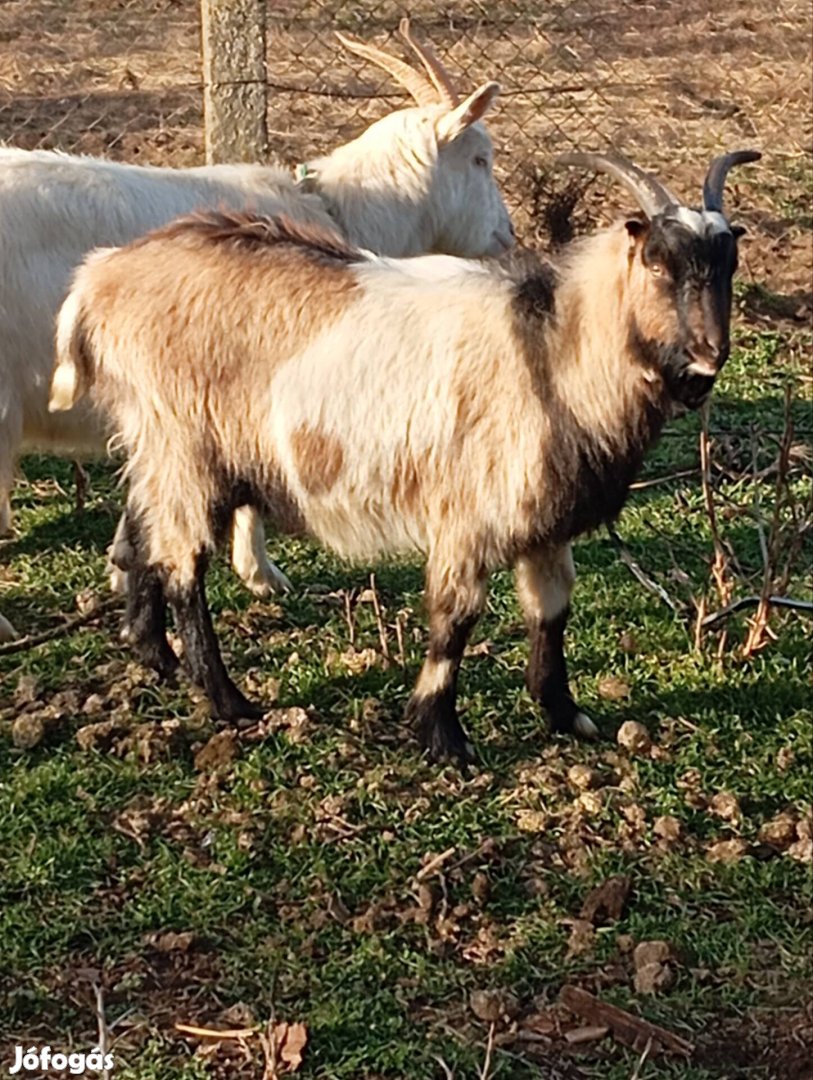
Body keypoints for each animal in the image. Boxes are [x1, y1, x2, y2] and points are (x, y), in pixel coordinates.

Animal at [50, 150, 760, 760]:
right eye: (659, 263)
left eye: (728, 262)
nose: (710, 355)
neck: (554, 346)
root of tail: (101, 276)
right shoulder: (470, 514)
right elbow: (455, 620)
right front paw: (443, 736)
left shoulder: (544, 519)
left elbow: (552, 611)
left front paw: (565, 713)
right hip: (184, 445)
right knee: (183, 566)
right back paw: (228, 700)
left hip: (159, 445)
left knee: (142, 536)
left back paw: (154, 654)